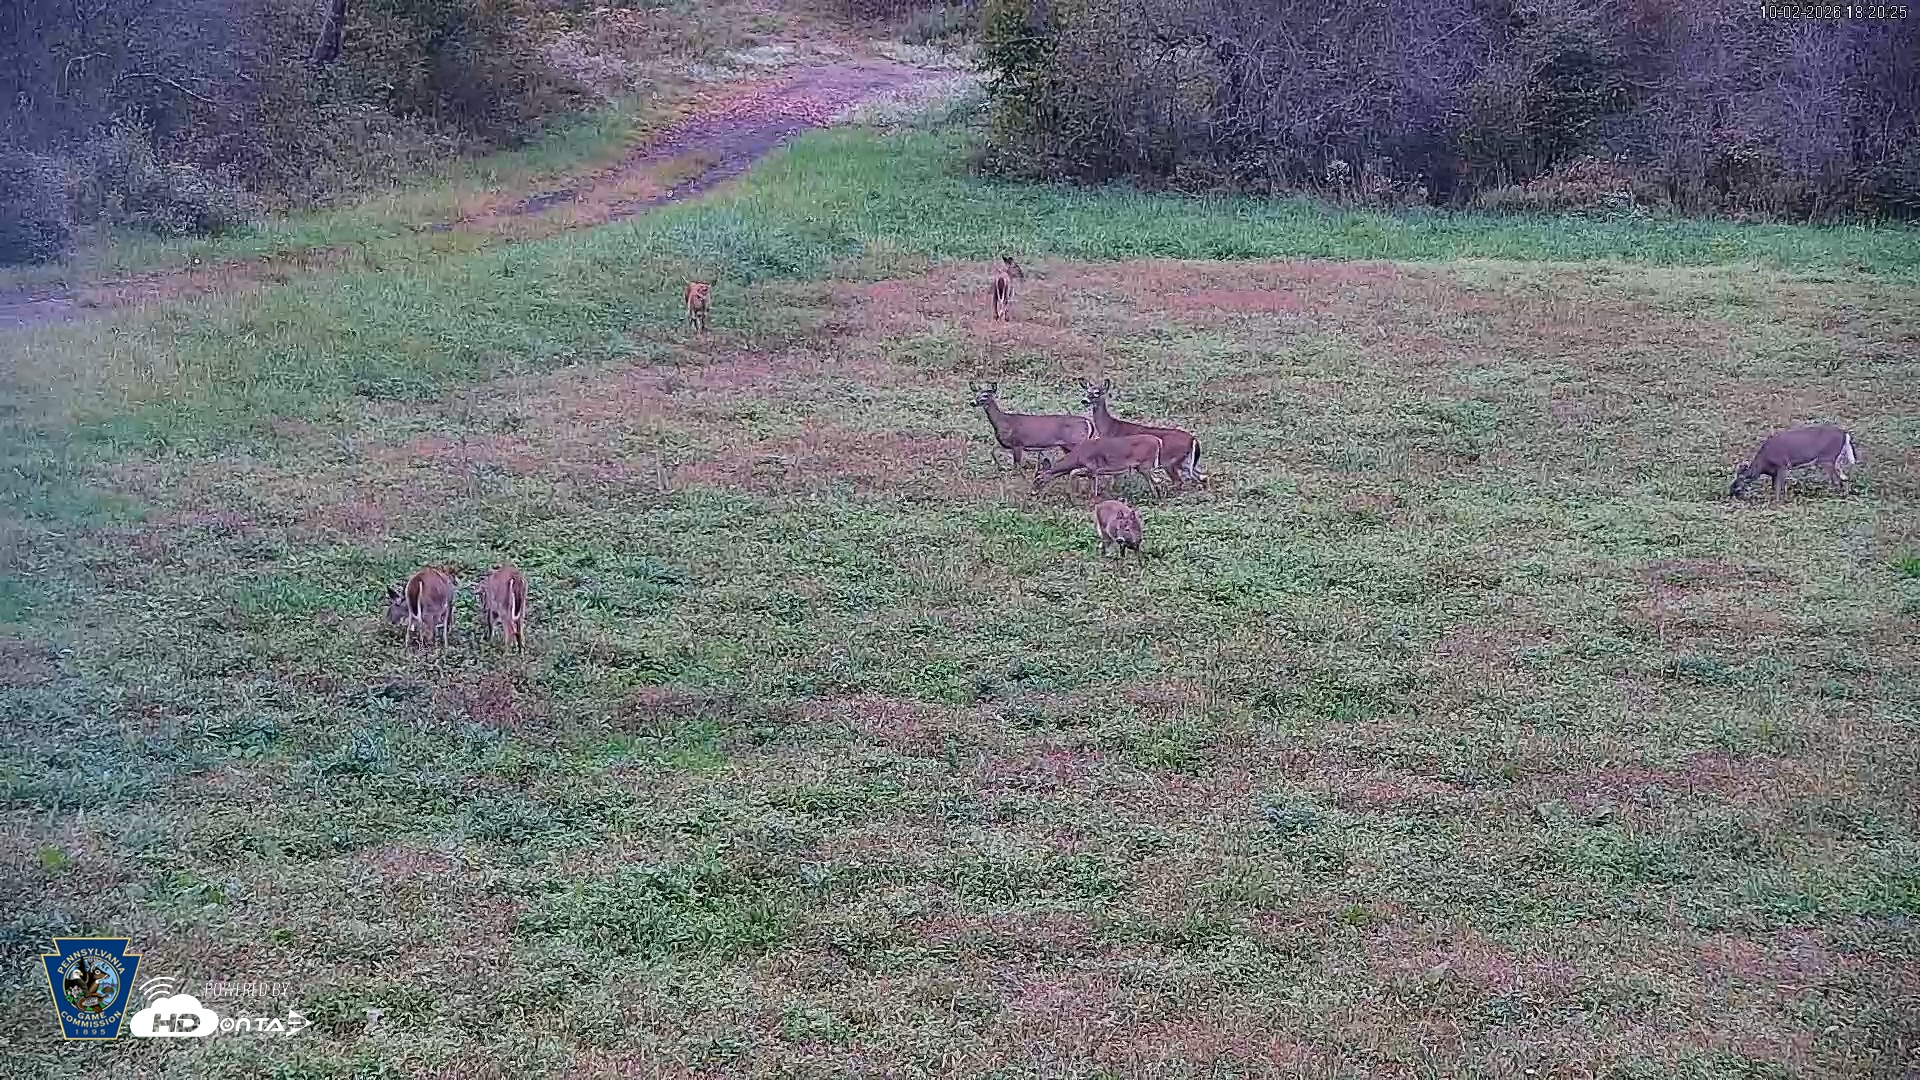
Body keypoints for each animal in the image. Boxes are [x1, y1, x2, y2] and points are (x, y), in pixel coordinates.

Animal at [1033, 433, 1166, 499]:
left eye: (1038, 479)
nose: (1033, 492)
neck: (1077, 456)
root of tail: (1158, 441)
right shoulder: (1092, 471)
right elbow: (1090, 482)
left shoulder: (1092, 467)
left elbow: (1073, 473)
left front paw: (1071, 496)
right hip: (1142, 466)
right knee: (1159, 479)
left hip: (1145, 464)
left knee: (1155, 479)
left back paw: (1155, 497)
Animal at [1728, 424, 1859, 503]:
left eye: (1740, 478)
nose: (1730, 492)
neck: (1764, 464)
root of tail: (1845, 435)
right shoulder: (1775, 472)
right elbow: (1774, 486)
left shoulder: (1783, 465)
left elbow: (1778, 487)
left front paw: (1778, 502)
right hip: (1834, 460)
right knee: (1844, 477)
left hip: (1827, 458)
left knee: (1837, 480)